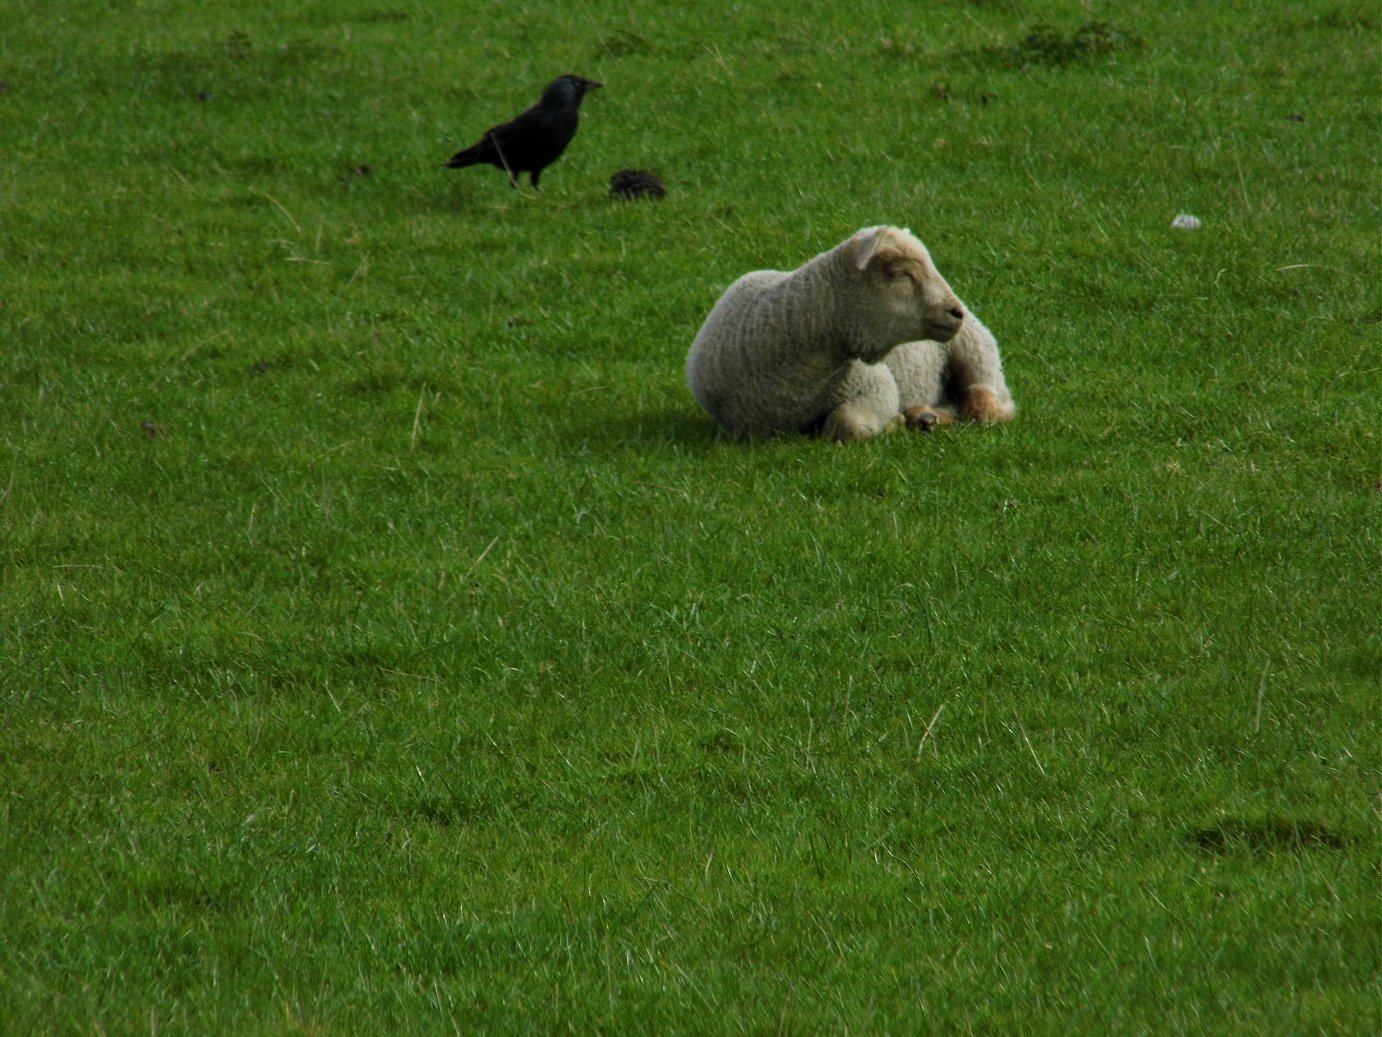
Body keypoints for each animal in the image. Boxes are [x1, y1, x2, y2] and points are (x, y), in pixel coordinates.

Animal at [682, 225, 1017, 439]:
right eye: (902, 273)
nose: (955, 312)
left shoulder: (877, 386)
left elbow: (847, 424)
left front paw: (892, 424)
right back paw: (926, 417)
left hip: (975, 347)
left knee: (988, 404)